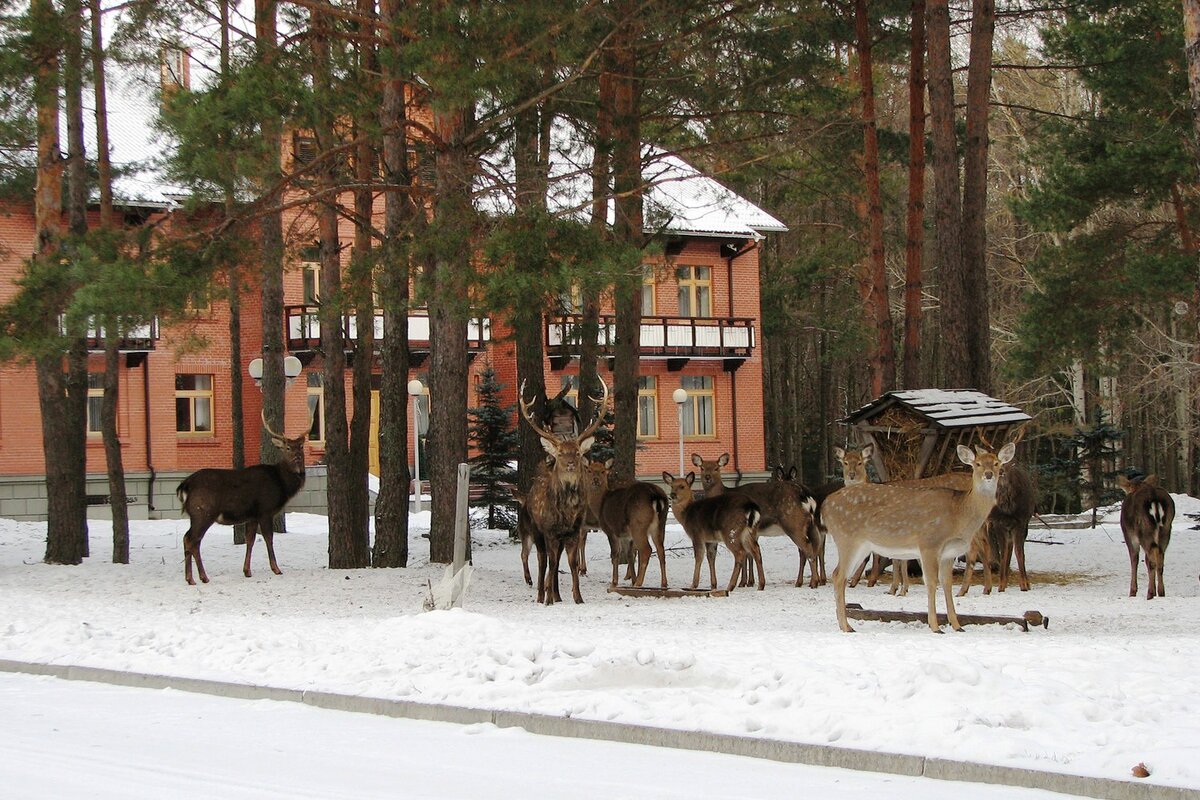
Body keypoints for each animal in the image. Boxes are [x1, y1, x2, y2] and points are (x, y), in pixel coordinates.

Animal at [177, 410, 312, 585]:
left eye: (301, 446)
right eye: (288, 447)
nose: (297, 458)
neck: (281, 483)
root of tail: (185, 485)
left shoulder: (252, 516)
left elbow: (250, 540)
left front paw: (247, 571)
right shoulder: (265, 510)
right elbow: (268, 538)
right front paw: (276, 568)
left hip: (196, 514)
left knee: (189, 538)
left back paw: (191, 577)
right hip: (203, 511)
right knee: (192, 540)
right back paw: (200, 577)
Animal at [520, 379, 609, 604]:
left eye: (577, 452)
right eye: (560, 453)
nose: (570, 464)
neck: (567, 512)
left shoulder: (574, 531)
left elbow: (572, 563)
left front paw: (578, 597)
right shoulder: (550, 531)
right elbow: (550, 564)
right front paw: (547, 599)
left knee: (556, 560)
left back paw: (557, 595)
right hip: (535, 530)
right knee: (542, 560)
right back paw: (541, 594)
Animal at [691, 453, 820, 592]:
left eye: (716, 468)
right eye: (702, 468)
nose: (707, 477)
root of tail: (807, 495)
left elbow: (746, 555)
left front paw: (744, 582)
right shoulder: (753, 532)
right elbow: (749, 555)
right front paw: (748, 582)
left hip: (793, 522)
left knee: (806, 548)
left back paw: (813, 582)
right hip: (806, 525)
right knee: (807, 549)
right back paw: (805, 582)